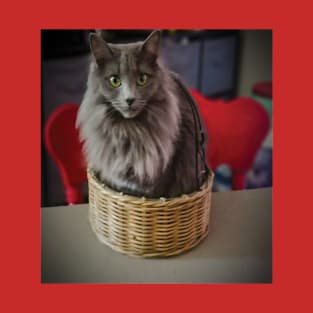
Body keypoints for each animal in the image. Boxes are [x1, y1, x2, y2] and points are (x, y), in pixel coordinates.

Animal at [75, 29, 207, 197]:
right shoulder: (114, 179)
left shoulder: (157, 183)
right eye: (114, 80)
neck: (129, 131)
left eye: (142, 79)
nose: (130, 99)